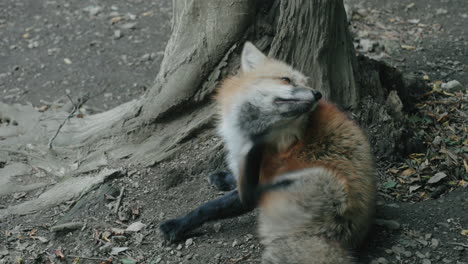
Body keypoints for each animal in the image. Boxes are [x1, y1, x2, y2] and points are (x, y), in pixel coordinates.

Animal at [161, 42, 376, 262]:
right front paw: (223, 178)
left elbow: (212, 206)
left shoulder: (258, 180)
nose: (318, 94)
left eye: (306, 84)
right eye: (286, 79)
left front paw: (178, 225)